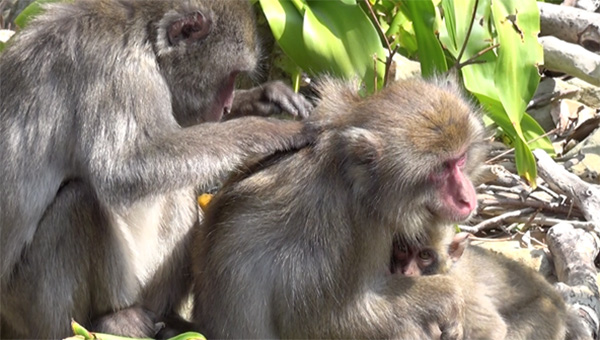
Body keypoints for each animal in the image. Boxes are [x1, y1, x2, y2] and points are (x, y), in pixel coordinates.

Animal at [1, 0, 314, 338]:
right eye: (229, 75)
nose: (227, 106)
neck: (142, 34)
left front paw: (262, 98)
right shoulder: (116, 71)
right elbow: (124, 168)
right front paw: (264, 130)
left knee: (176, 187)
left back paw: (167, 317)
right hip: (26, 307)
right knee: (79, 201)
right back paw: (109, 320)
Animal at [192, 77, 488, 340]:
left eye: (460, 160)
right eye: (440, 171)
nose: (466, 198)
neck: (354, 180)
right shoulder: (339, 223)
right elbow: (324, 322)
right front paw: (449, 296)